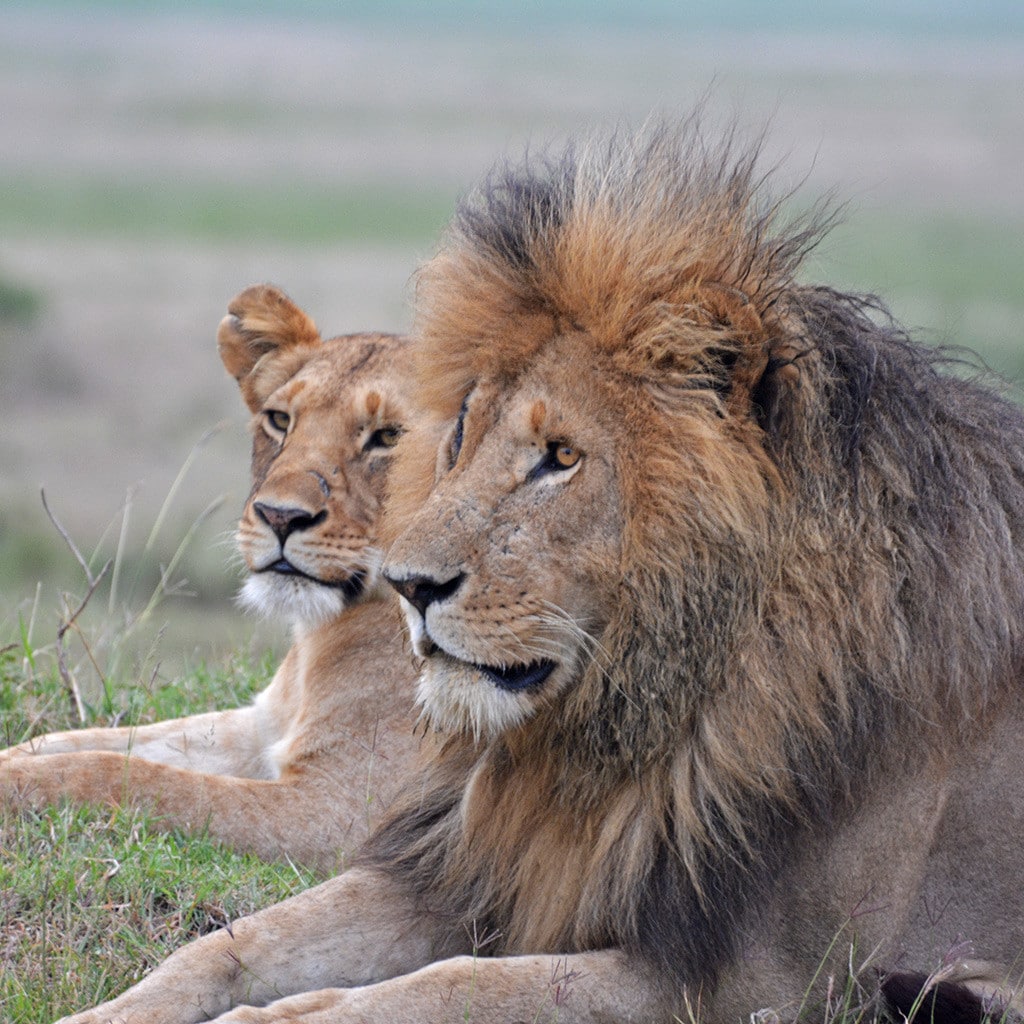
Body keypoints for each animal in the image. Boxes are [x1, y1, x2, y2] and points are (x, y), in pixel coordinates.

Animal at [2, 284, 421, 870]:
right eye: (279, 420)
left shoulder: (343, 813)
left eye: (388, 436)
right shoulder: (260, 725)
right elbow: (101, 740)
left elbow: (129, 778)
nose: (279, 516)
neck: (318, 641)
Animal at [56, 124, 1024, 1024]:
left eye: (560, 457)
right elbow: (224, 934)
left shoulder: (754, 981)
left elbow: (440, 988)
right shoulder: (459, 859)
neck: (611, 731)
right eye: (459, 435)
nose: (410, 586)